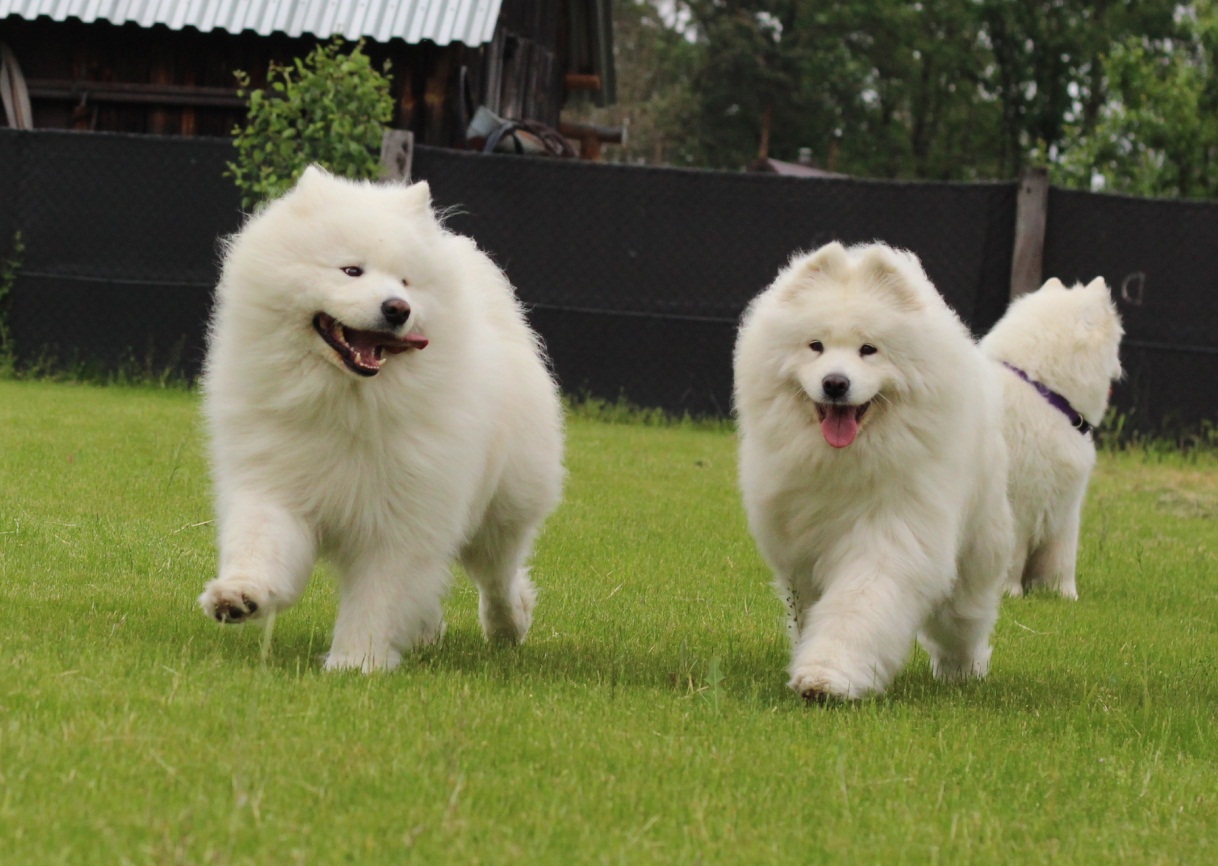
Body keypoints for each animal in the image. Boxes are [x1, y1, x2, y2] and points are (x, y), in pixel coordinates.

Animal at [197, 165, 562, 672]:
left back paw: (509, 625)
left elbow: (379, 598)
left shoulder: (403, 521)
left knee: (498, 576)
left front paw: (356, 663)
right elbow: (260, 544)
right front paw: (240, 596)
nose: (397, 308)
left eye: (406, 283)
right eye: (352, 270)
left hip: (501, 510)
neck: (348, 405)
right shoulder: (276, 485)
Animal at [735, 239, 1013, 701]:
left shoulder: (892, 536)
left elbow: (859, 607)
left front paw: (829, 675)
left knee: (963, 621)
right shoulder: (800, 554)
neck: (847, 460)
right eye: (816, 346)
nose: (835, 383)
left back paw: (963, 671)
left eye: (869, 349)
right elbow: (810, 608)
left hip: (973, 560)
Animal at [979, 278, 1120, 604]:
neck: (1044, 392)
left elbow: (1061, 560)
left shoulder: (1065, 510)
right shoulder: (1019, 503)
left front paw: (1064, 596)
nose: (1120, 367)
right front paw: (1010, 592)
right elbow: (1013, 556)